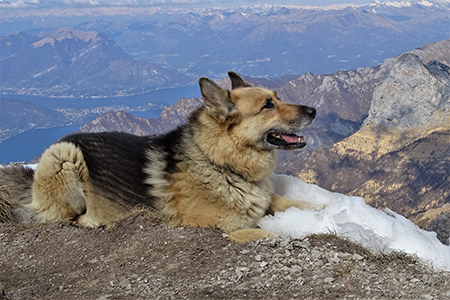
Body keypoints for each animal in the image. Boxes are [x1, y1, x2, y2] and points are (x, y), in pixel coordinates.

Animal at [0, 71, 316, 243]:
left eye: (278, 97)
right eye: (267, 105)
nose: (313, 110)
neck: (219, 162)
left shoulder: (265, 198)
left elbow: (287, 202)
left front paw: (317, 209)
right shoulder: (213, 226)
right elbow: (264, 233)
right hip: (65, 157)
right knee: (65, 218)